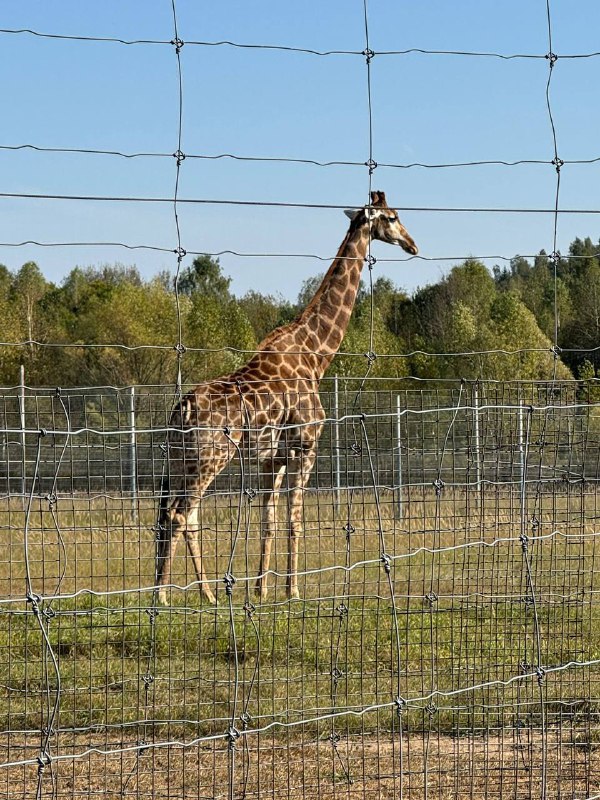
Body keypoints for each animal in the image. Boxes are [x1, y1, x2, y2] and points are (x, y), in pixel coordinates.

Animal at [155, 192, 418, 608]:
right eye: (392, 218)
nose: (413, 244)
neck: (316, 354)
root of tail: (182, 410)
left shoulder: (272, 457)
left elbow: (269, 520)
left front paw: (261, 589)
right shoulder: (305, 447)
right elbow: (295, 520)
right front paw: (292, 590)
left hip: (183, 460)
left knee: (175, 514)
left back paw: (191, 593)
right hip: (211, 459)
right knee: (181, 515)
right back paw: (177, 595)